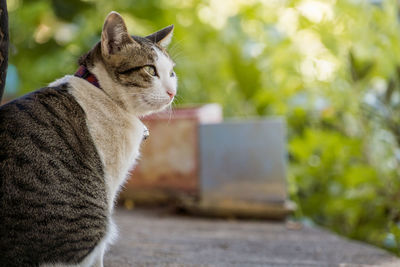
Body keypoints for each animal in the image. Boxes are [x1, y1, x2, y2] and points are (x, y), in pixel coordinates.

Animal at [0, 11, 177, 266]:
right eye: (150, 70)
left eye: (171, 73)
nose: (172, 92)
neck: (102, 91)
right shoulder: (109, 184)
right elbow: (99, 255)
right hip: (92, 221)